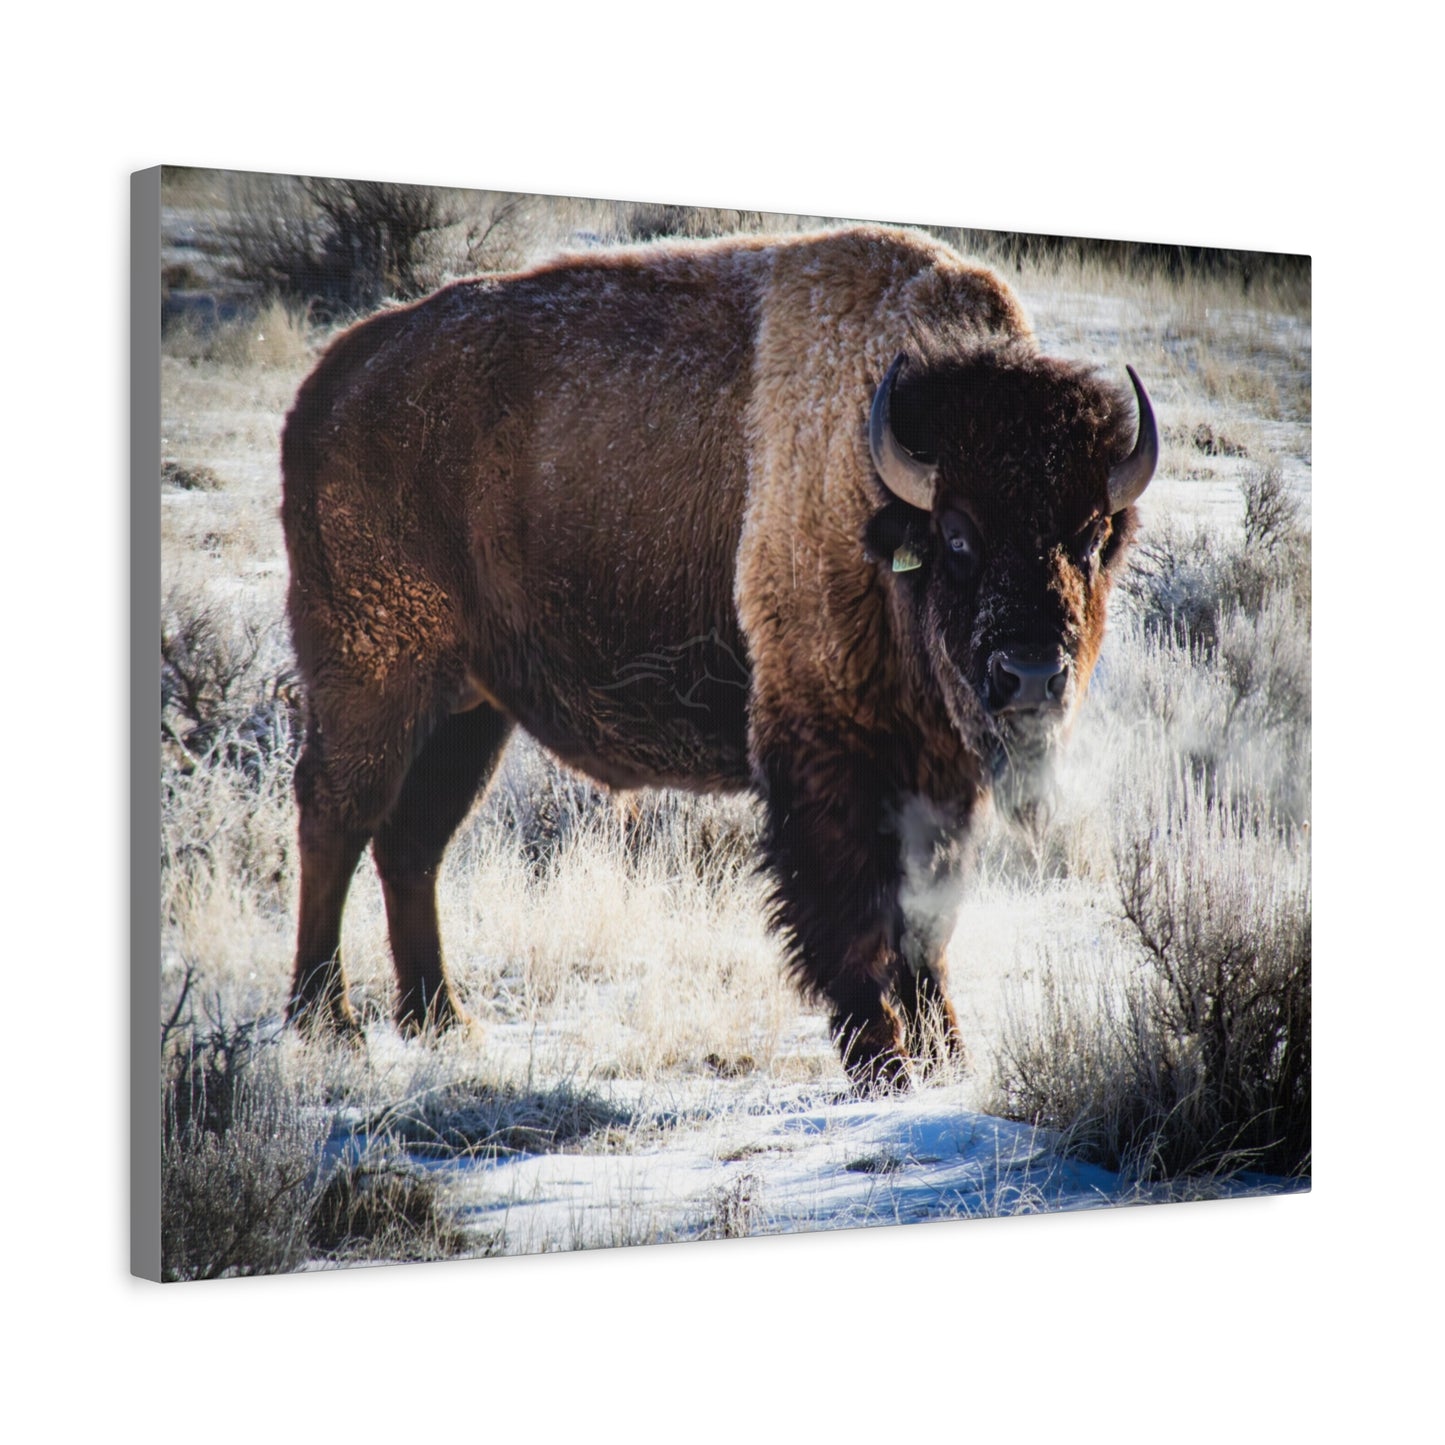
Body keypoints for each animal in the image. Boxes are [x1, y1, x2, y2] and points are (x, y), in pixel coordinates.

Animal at [281, 225, 1156, 1088]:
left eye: (1088, 537)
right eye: (958, 534)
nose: (1030, 674)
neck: (878, 496)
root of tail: (330, 382)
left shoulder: (938, 772)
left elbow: (925, 921)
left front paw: (948, 1058)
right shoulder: (828, 752)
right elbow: (852, 913)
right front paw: (884, 1065)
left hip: (468, 711)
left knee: (412, 842)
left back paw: (439, 1019)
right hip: (373, 678)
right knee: (336, 817)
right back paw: (328, 1021)